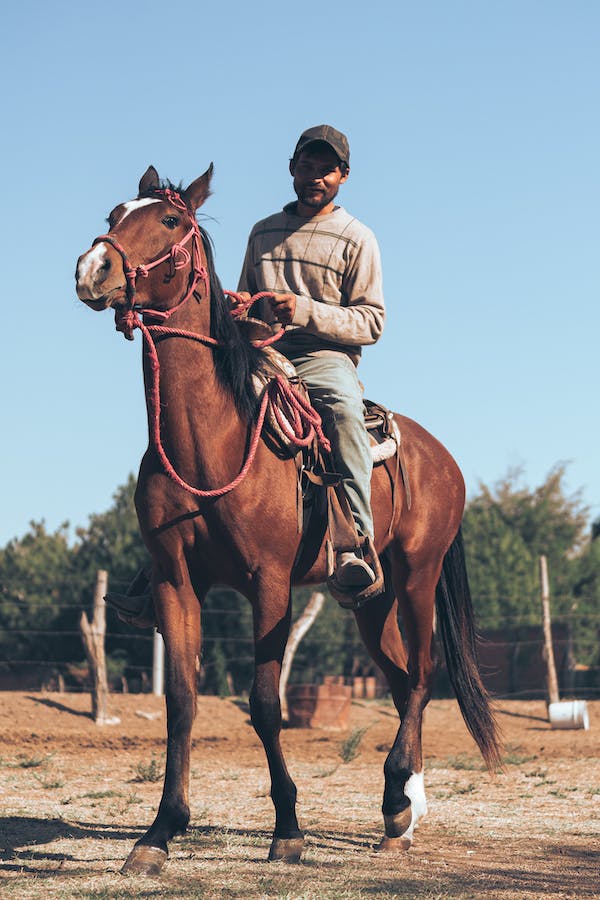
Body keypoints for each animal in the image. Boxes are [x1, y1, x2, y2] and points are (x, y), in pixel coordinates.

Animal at [77, 165, 504, 876]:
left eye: (169, 221)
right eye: (114, 213)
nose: (93, 267)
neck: (213, 438)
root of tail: (441, 456)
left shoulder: (269, 582)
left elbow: (264, 704)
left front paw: (288, 829)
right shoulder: (175, 581)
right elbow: (182, 702)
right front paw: (159, 833)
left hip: (417, 577)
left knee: (421, 677)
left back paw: (397, 796)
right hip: (370, 598)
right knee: (396, 681)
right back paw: (402, 814)